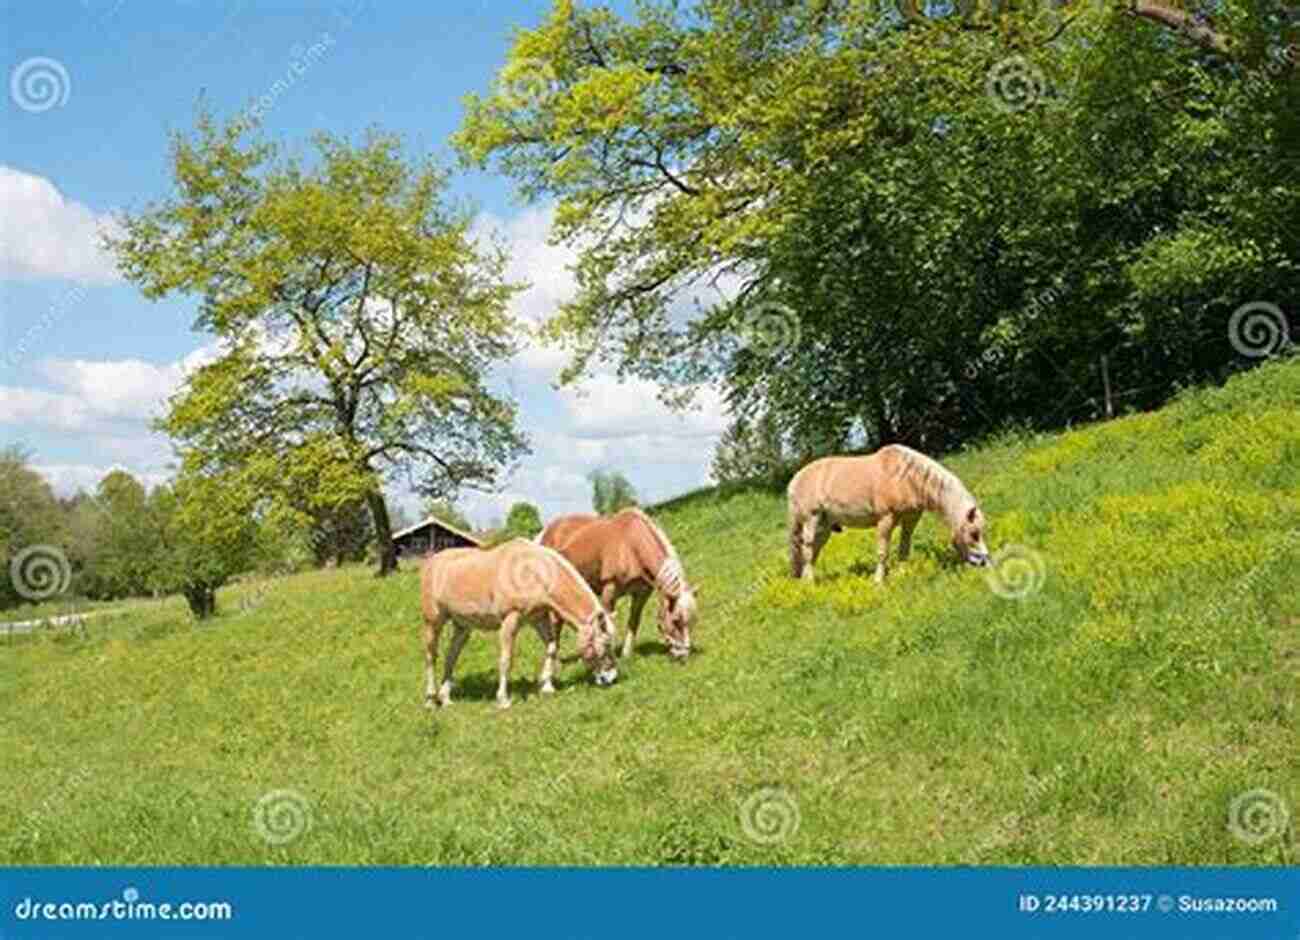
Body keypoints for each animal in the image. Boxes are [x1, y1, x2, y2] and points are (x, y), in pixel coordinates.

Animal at [418, 540, 616, 707]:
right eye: (606, 644)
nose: (611, 678)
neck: (533, 571)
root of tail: (431, 563)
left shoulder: (538, 619)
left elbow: (552, 647)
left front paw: (547, 687)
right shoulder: (510, 620)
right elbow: (506, 660)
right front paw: (503, 700)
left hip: (462, 627)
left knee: (451, 656)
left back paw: (446, 698)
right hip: (433, 622)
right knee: (431, 657)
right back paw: (430, 700)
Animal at [538, 507, 702, 663]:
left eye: (693, 621)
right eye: (676, 621)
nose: (683, 656)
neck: (631, 544)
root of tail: (545, 533)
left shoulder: (641, 593)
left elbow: (634, 621)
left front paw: (626, 654)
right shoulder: (609, 589)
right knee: (555, 622)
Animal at [785, 444, 987, 585]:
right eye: (973, 534)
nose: (983, 562)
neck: (906, 478)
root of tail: (795, 480)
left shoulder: (911, 518)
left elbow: (904, 547)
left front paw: (903, 573)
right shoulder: (886, 519)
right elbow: (883, 552)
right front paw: (878, 581)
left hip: (825, 526)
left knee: (813, 550)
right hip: (811, 520)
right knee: (808, 548)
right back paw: (810, 583)